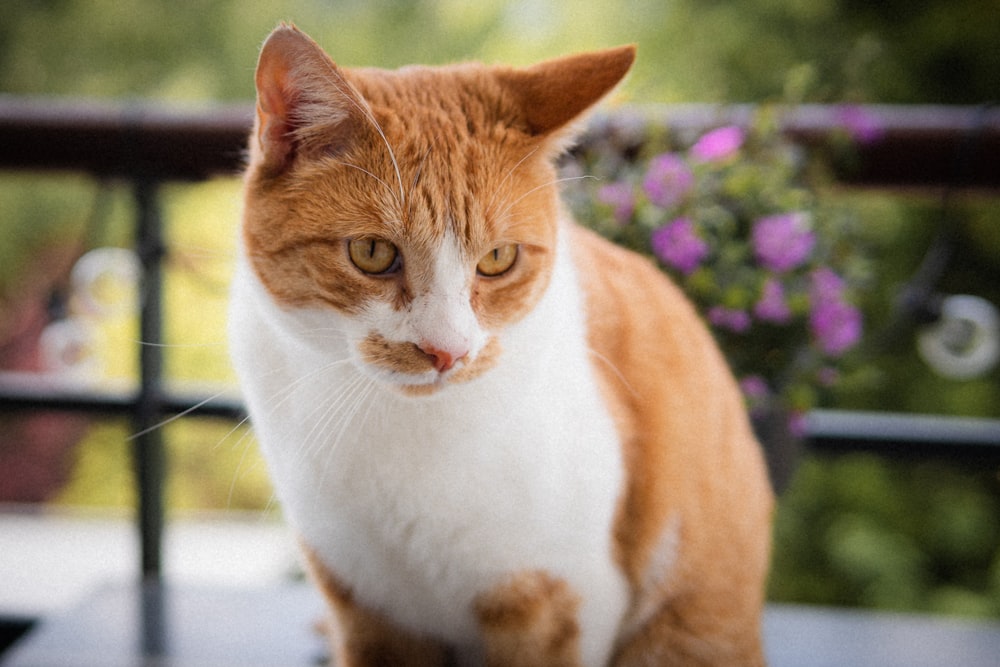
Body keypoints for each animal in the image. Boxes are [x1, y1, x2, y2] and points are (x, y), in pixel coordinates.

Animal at [232, 23, 772, 667]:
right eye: (371, 252)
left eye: (498, 258)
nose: (446, 351)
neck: (402, 434)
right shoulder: (367, 605)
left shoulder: (563, 598)